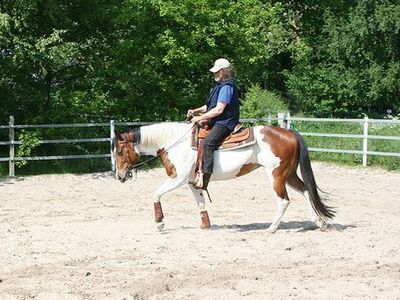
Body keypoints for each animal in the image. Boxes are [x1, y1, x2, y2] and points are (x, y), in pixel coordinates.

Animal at [113, 122, 334, 232]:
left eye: (120, 151)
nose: (120, 176)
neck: (174, 142)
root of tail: (289, 133)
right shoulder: (192, 181)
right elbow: (200, 201)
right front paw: (205, 225)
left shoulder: (178, 178)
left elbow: (156, 193)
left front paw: (159, 223)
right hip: (289, 174)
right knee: (306, 191)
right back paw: (319, 222)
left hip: (276, 176)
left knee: (284, 201)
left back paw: (271, 228)